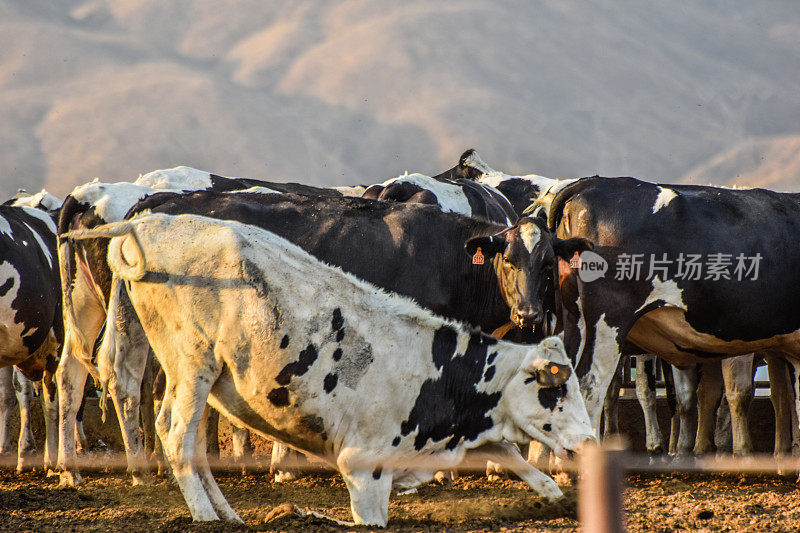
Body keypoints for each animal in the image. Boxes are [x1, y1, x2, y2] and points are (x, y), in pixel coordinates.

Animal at [70, 213, 592, 528]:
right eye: (555, 388)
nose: (589, 441)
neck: (434, 371)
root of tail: (148, 221)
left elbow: (521, 461)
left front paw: (556, 496)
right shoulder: (364, 470)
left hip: (206, 378)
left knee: (193, 440)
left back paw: (228, 513)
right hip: (190, 364)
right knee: (175, 434)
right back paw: (205, 516)